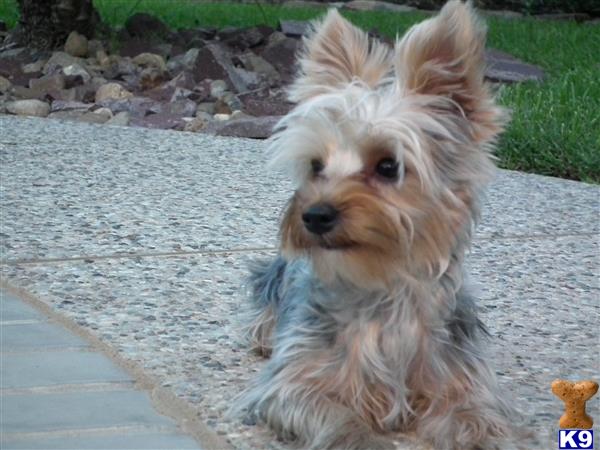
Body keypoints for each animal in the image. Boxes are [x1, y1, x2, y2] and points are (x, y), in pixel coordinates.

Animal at [237, 1, 516, 448]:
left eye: (388, 166)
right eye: (316, 166)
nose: (313, 215)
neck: (385, 289)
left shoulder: (461, 380)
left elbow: (477, 417)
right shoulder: (293, 383)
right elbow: (335, 416)